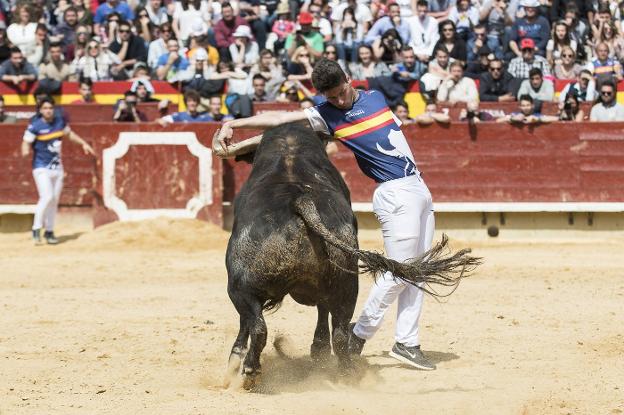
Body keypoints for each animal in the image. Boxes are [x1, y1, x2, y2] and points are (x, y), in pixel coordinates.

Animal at [225, 122, 482, 388]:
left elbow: (247, 323)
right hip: (347, 284)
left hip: (240, 287)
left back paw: (249, 370)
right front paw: (319, 351)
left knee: (258, 326)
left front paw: (235, 360)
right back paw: (347, 373)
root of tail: (301, 201)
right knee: (338, 332)